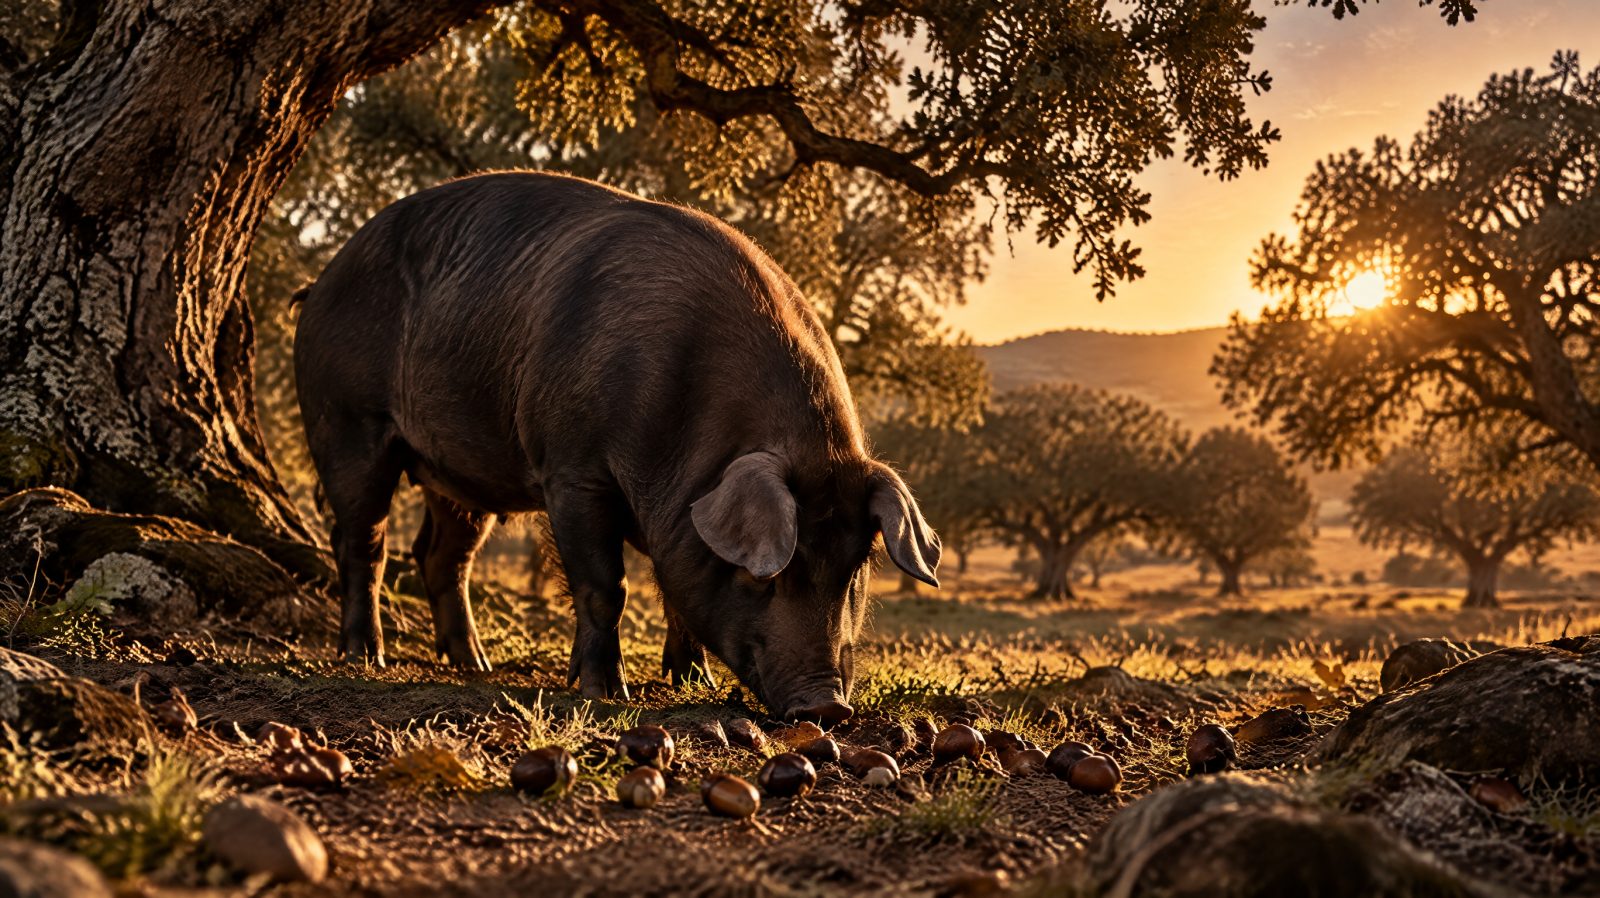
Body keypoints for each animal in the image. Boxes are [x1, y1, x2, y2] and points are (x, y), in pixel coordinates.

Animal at [294, 171, 940, 725]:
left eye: (855, 568)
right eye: (766, 576)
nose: (826, 707)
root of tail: (319, 281)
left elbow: (676, 590)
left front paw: (692, 684)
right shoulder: (573, 471)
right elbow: (606, 585)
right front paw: (605, 692)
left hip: (457, 478)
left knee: (440, 556)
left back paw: (472, 663)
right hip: (347, 423)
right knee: (364, 542)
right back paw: (365, 656)